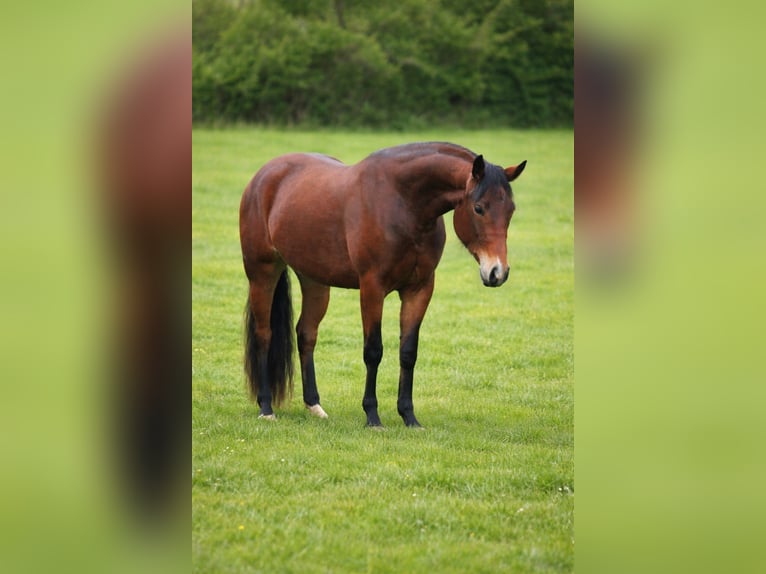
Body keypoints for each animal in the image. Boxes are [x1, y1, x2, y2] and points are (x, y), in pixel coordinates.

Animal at [239, 142, 526, 427]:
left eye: (511, 210)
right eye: (478, 208)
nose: (497, 272)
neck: (404, 203)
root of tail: (263, 176)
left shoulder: (419, 289)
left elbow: (408, 352)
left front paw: (409, 416)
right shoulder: (372, 288)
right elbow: (373, 350)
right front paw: (372, 416)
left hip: (315, 281)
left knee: (306, 333)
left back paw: (314, 406)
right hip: (263, 273)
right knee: (264, 334)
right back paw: (266, 407)